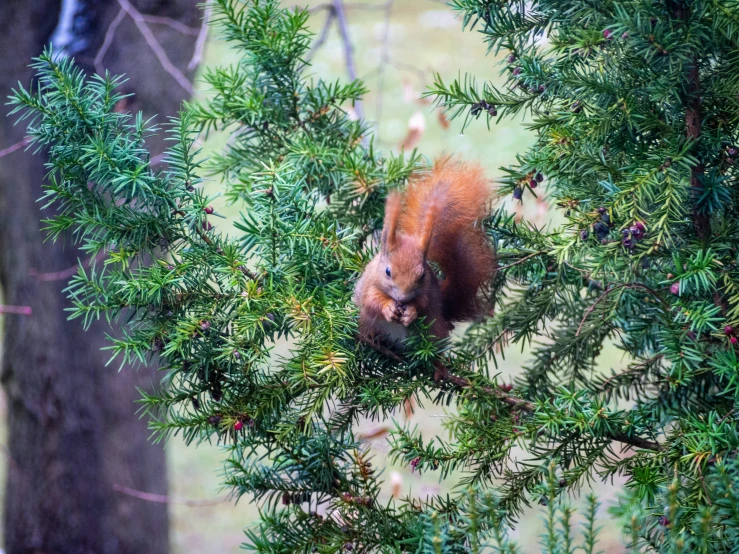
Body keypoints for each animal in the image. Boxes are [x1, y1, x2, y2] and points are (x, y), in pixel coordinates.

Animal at [354, 156, 498, 344]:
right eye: (387, 272)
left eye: (422, 275)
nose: (403, 298)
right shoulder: (369, 283)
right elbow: (371, 299)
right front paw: (388, 307)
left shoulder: (428, 288)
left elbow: (422, 302)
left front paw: (411, 312)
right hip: (364, 321)